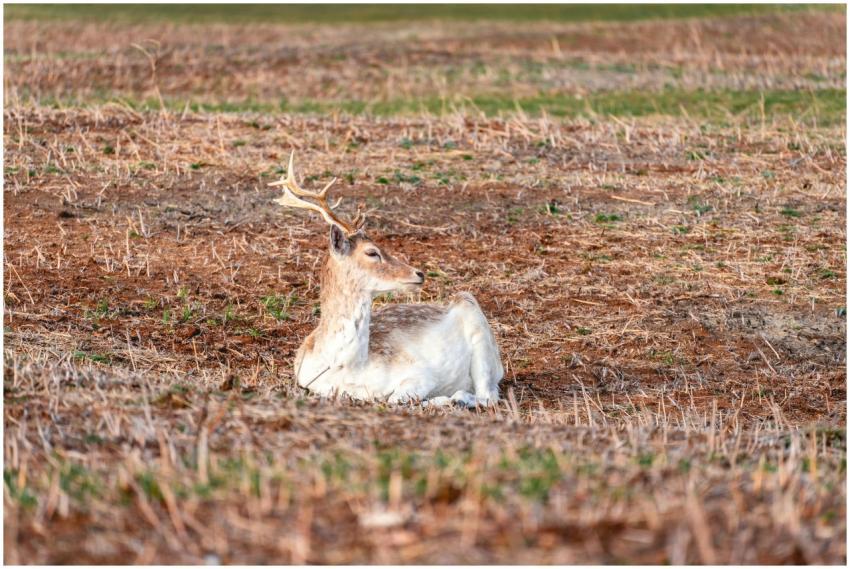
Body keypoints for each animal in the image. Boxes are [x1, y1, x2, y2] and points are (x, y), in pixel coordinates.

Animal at [271, 153, 503, 407]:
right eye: (372, 252)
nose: (418, 273)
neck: (347, 368)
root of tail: (500, 365)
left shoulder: (420, 373)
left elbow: (395, 399)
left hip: (476, 323)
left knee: (489, 395)